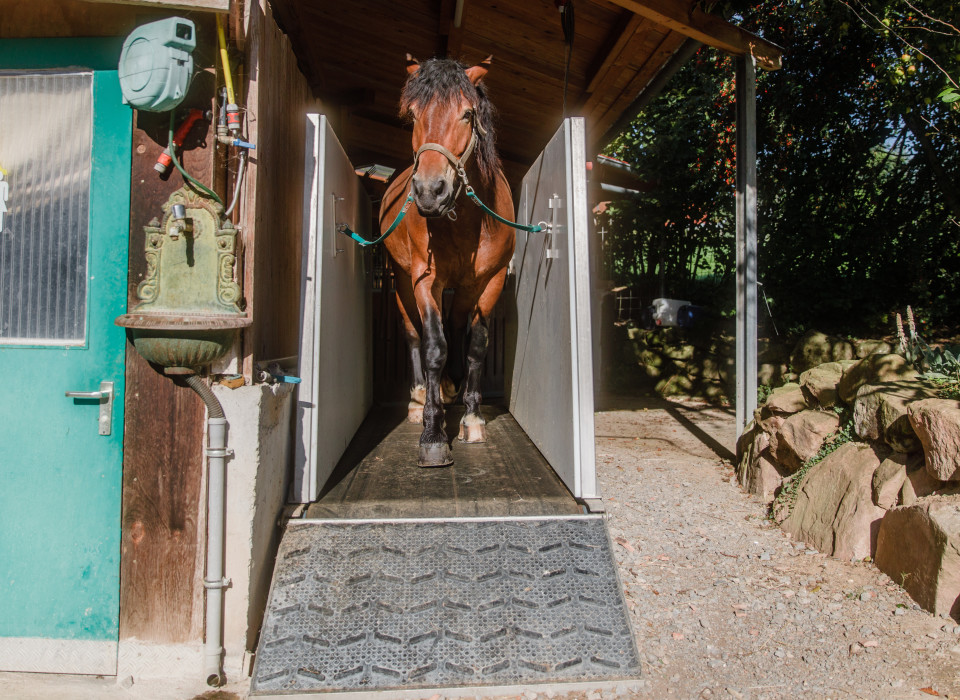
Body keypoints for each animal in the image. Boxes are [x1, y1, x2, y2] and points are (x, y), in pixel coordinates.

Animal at [380, 56, 516, 470]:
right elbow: (433, 346)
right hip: (402, 282)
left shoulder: (490, 281)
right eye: (412, 115)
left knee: (455, 324)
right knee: (413, 334)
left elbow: (475, 343)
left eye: (467, 114)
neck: (466, 221)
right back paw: (419, 397)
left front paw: (471, 416)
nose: (429, 192)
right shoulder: (425, 281)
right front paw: (433, 434)